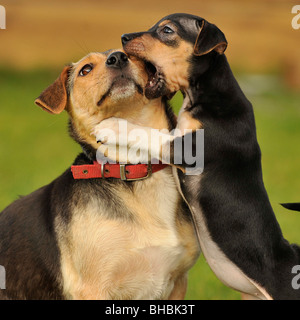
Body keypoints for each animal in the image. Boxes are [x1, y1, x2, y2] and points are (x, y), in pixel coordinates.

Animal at [0, 50, 199, 300]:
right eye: (85, 69)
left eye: (134, 57)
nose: (118, 57)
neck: (134, 170)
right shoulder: (93, 288)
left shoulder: (178, 281)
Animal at [95, 14, 300, 300]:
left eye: (167, 30)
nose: (124, 37)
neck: (207, 93)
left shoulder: (188, 148)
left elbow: (149, 134)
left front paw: (112, 125)